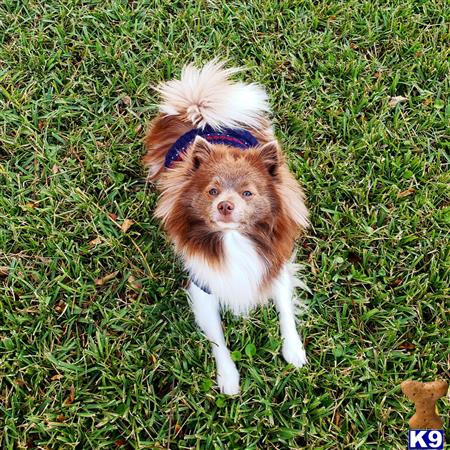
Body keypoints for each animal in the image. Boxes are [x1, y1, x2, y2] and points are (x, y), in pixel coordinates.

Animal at [143, 60, 310, 394]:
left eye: (247, 193)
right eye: (212, 191)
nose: (225, 206)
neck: (234, 241)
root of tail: (202, 120)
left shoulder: (275, 267)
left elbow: (285, 310)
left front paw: (294, 351)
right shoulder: (204, 286)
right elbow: (217, 337)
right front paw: (229, 378)